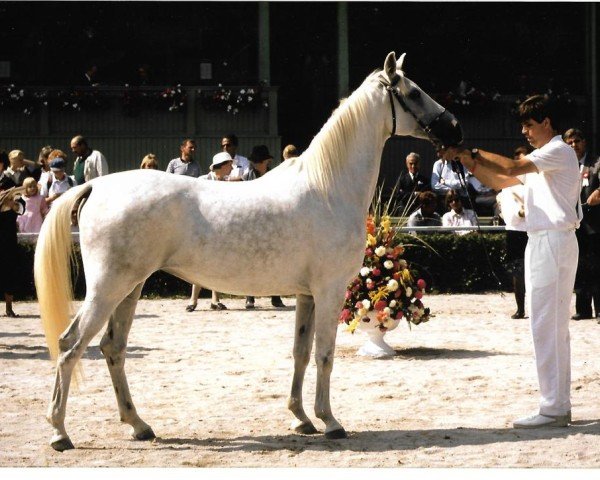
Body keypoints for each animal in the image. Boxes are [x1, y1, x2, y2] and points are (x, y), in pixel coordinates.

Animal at [35, 52, 462, 450]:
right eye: (413, 93)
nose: (455, 129)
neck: (328, 187)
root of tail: (97, 186)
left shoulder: (306, 296)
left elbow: (300, 352)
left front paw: (300, 418)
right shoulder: (329, 291)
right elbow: (324, 354)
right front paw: (330, 422)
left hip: (130, 287)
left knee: (112, 347)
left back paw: (139, 426)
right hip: (109, 288)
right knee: (71, 345)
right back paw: (59, 433)